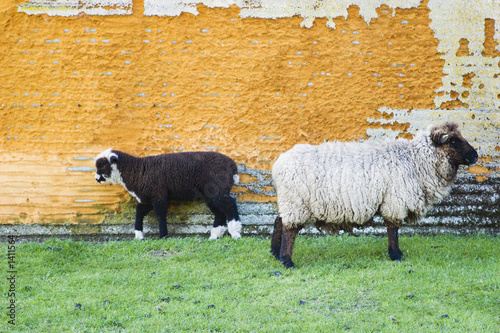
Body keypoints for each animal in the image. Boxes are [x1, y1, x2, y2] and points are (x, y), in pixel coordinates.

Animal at [272, 121, 478, 268]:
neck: (414, 160)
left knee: (279, 221)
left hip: (290, 201)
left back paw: (275, 253)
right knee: (289, 229)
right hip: (296, 202)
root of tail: (278, 164)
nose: (475, 156)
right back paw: (287, 261)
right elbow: (393, 228)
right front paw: (396, 255)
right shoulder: (395, 199)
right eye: (453, 140)